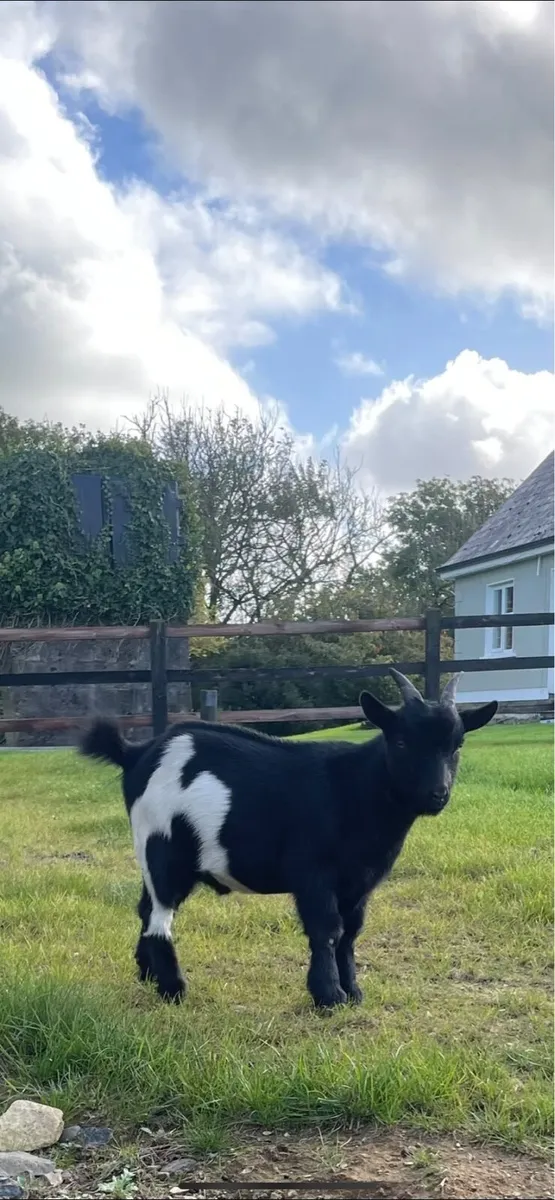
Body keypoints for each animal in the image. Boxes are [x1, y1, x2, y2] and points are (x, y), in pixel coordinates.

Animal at [79, 669, 497, 1009]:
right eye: (401, 743)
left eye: (457, 745)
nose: (437, 794)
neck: (354, 788)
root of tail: (137, 754)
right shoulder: (314, 872)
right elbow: (327, 929)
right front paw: (328, 996)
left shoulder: (360, 881)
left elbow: (351, 932)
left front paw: (353, 992)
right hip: (162, 844)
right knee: (160, 915)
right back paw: (173, 989)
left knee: (145, 907)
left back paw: (146, 974)